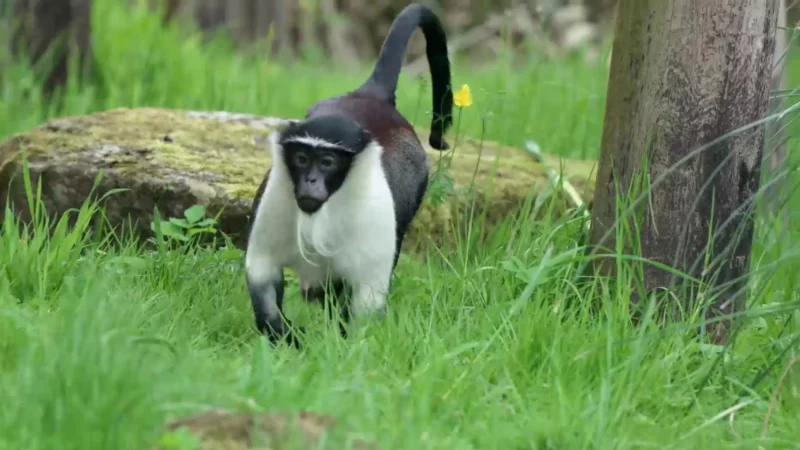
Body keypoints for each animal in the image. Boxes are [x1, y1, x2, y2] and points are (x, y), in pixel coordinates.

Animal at [244, 3, 454, 346]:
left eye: (328, 162)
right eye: (301, 159)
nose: (310, 181)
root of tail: (371, 96)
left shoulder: (373, 222)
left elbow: (365, 300)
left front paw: (342, 346)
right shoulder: (275, 199)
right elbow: (262, 272)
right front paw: (287, 337)